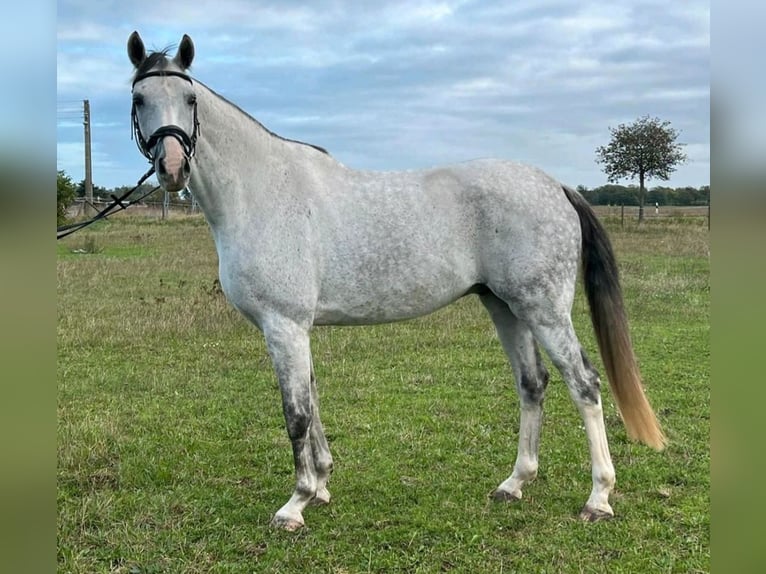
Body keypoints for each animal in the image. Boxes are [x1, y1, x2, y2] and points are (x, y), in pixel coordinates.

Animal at [127, 31, 664, 532]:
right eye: (139, 100)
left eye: (189, 99)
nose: (172, 168)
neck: (261, 190)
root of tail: (556, 186)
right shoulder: (298, 330)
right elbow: (313, 401)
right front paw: (321, 486)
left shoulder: (284, 325)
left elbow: (296, 414)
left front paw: (295, 503)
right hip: (505, 306)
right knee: (532, 384)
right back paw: (514, 483)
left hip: (544, 309)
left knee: (584, 384)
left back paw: (598, 497)